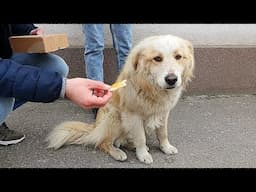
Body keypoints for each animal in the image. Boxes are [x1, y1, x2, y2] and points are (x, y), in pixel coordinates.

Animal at [45, 34, 194, 164]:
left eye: (178, 57)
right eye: (157, 58)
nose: (172, 80)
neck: (152, 89)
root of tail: (95, 128)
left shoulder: (163, 112)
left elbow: (163, 133)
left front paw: (166, 147)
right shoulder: (133, 115)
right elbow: (141, 137)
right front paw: (143, 155)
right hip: (115, 117)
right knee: (103, 143)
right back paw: (118, 152)